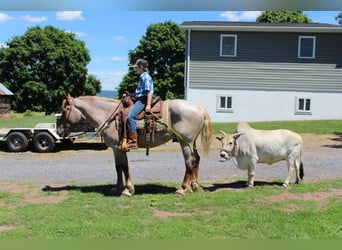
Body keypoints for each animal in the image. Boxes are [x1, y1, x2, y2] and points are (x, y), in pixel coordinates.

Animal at [56, 94, 211, 197]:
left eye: (65, 109)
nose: (59, 131)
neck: (108, 115)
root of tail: (198, 107)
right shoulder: (115, 148)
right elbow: (118, 167)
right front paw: (117, 188)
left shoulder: (120, 148)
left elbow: (125, 167)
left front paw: (127, 190)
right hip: (192, 142)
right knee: (196, 159)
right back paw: (194, 186)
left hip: (185, 142)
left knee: (189, 161)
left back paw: (183, 189)